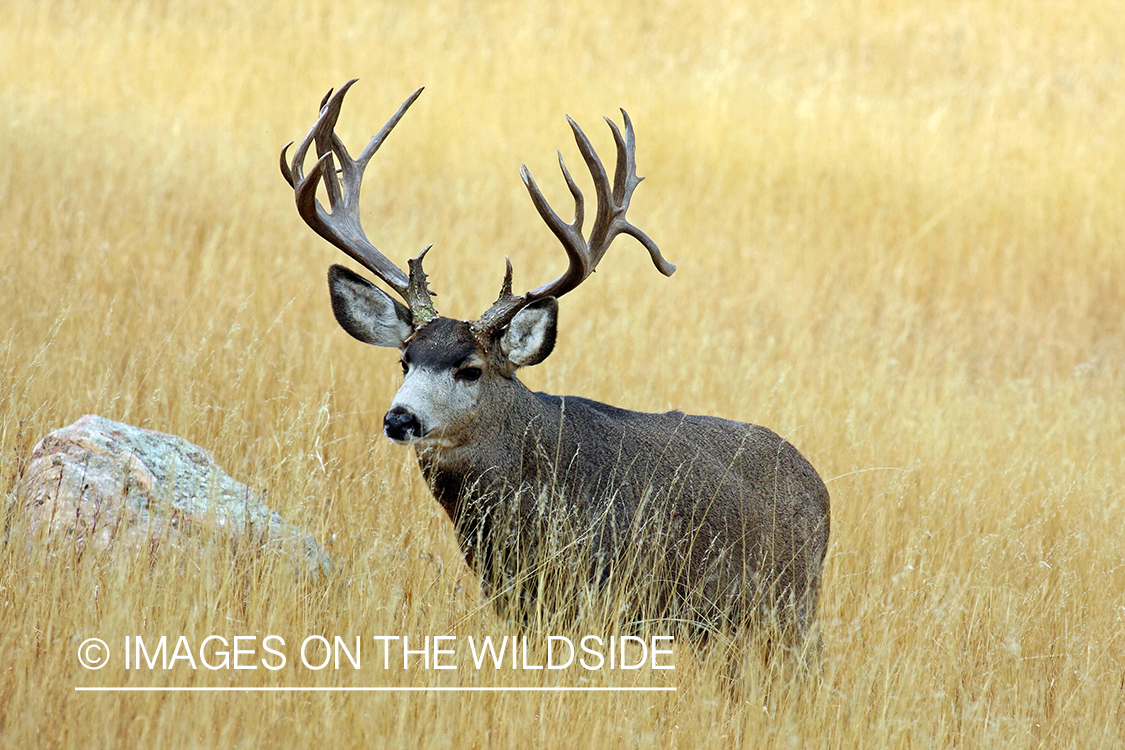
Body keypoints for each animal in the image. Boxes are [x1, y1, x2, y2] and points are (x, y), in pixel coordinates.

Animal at [281, 80, 830, 658]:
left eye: (471, 369)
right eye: (404, 360)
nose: (400, 419)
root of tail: (820, 488)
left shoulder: (603, 593)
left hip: (790, 606)